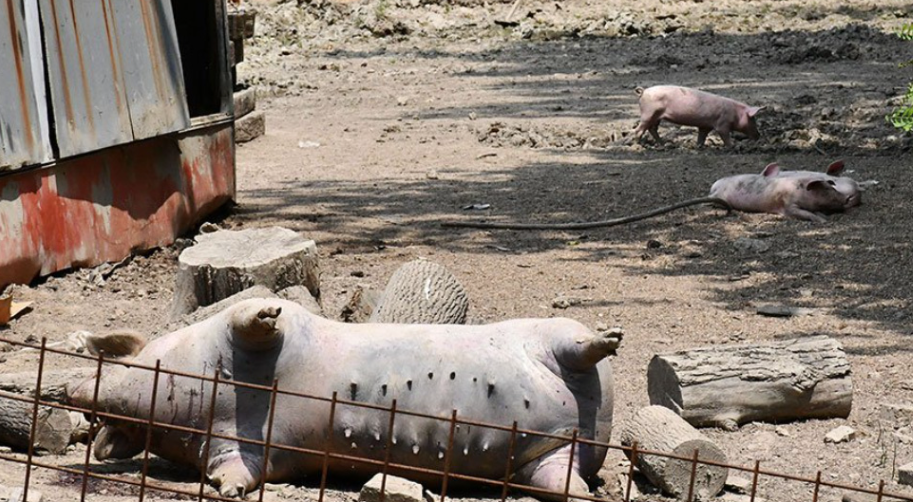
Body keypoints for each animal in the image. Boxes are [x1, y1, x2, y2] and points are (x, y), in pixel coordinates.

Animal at [628, 84, 764, 146]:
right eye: (753, 119)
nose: (759, 135)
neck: (735, 113)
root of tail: (643, 92)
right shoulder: (722, 124)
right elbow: (725, 135)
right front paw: (733, 146)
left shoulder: (705, 126)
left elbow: (702, 136)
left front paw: (699, 146)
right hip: (648, 112)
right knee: (640, 129)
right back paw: (637, 145)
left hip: (656, 116)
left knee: (652, 129)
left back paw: (664, 144)